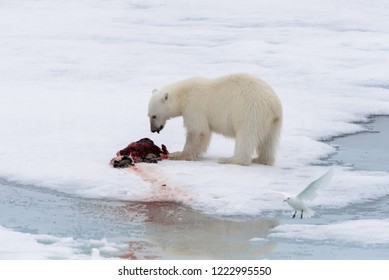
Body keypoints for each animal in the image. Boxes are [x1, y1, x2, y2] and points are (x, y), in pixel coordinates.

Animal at [147, 73, 280, 165]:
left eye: (154, 115)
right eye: (148, 115)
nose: (153, 130)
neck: (184, 93)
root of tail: (273, 105)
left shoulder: (194, 106)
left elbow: (198, 131)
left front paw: (178, 155)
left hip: (250, 112)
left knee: (246, 135)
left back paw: (229, 159)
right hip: (272, 122)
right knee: (269, 141)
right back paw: (261, 159)